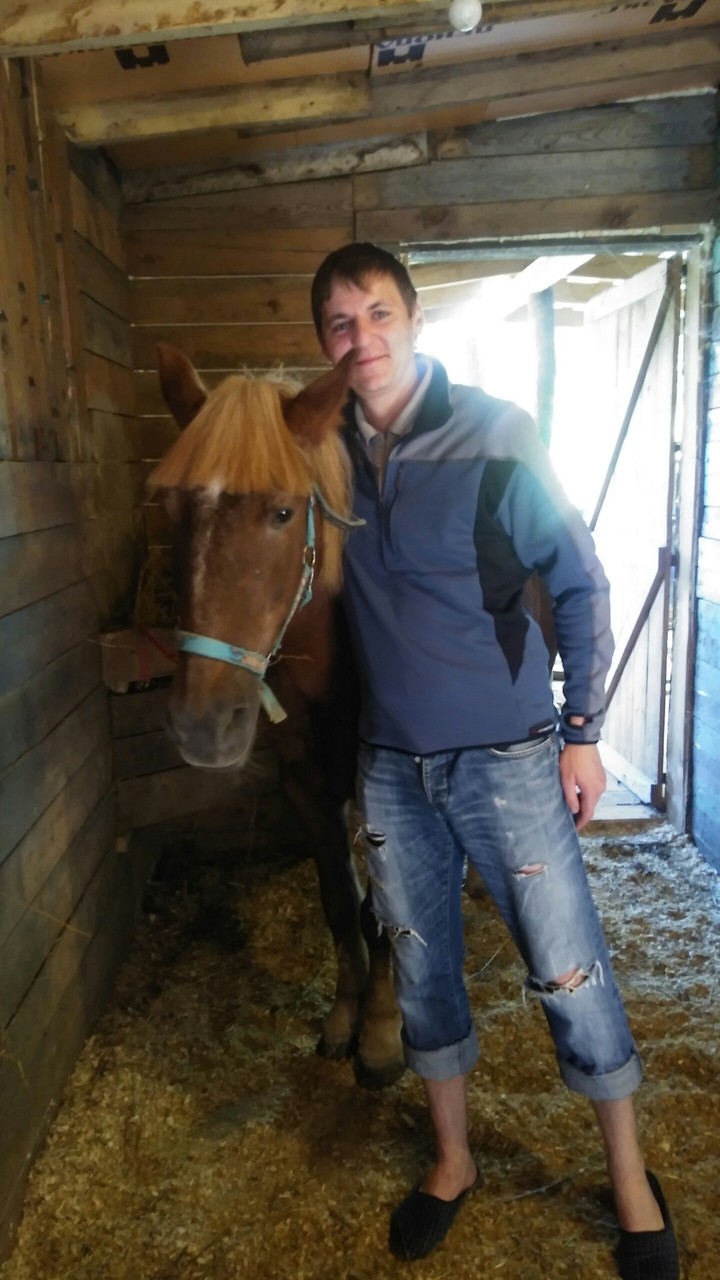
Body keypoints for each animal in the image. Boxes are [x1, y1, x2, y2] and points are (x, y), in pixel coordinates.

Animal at [149, 343, 404, 1090]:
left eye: (285, 513)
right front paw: (346, 1016)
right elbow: (339, 904)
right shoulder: (305, 785)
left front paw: (382, 1032)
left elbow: (380, 911)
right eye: (172, 506)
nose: (202, 725)